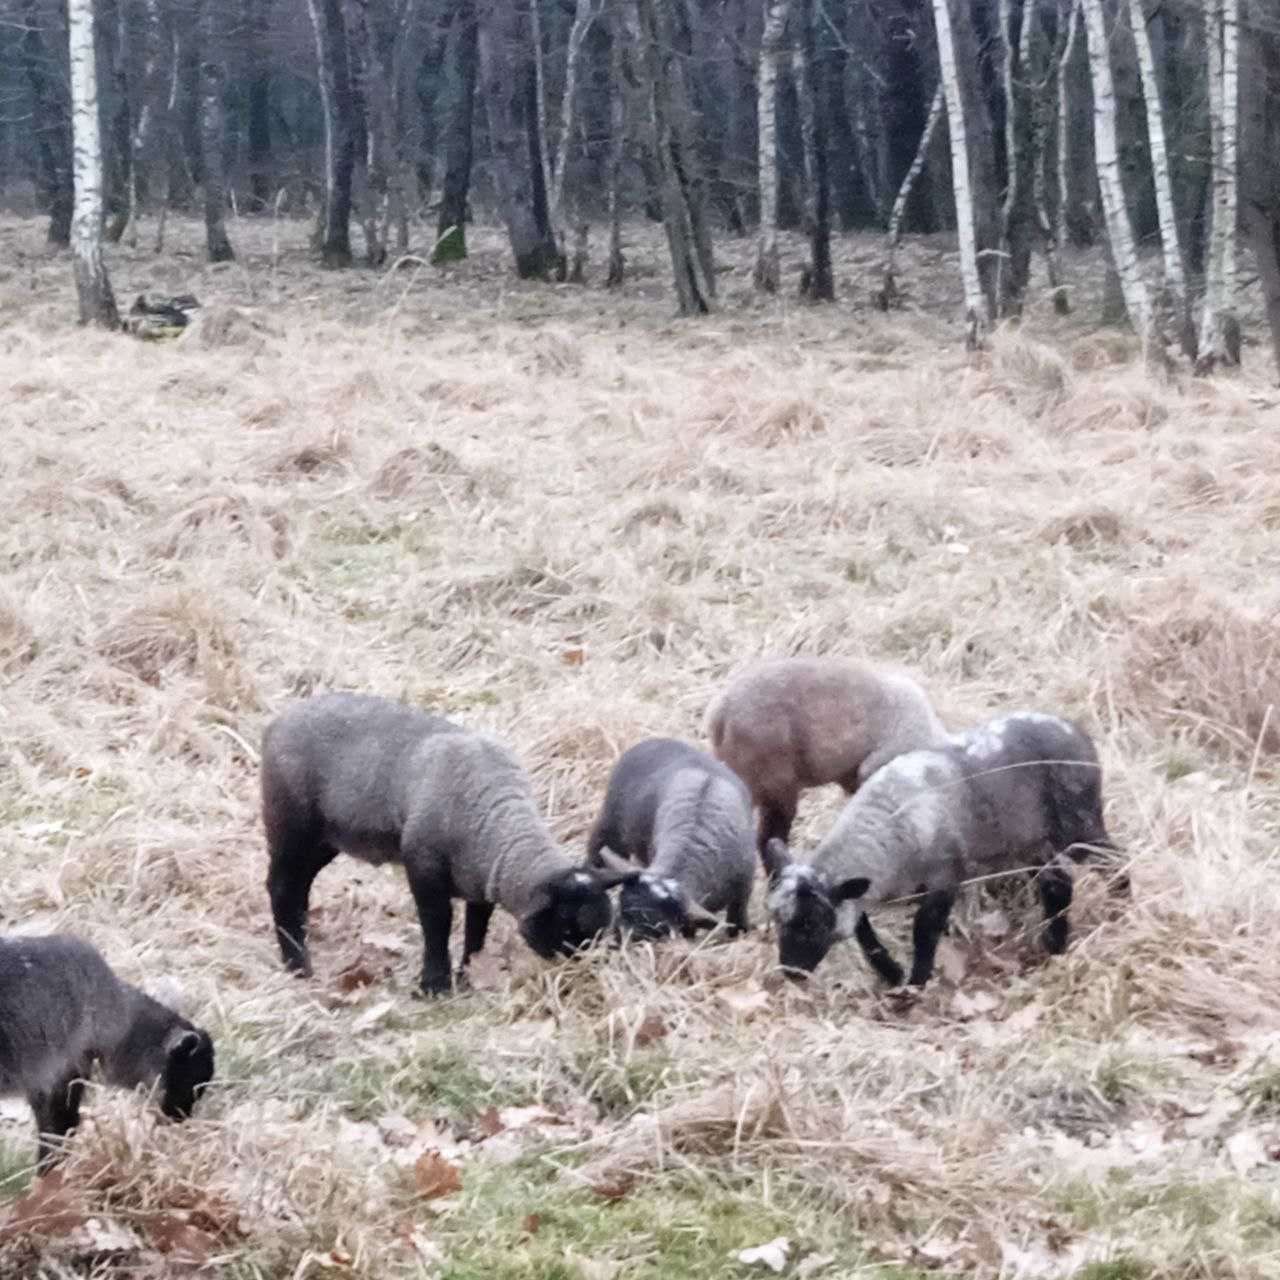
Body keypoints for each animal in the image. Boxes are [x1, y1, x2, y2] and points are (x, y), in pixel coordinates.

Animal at [262, 696, 632, 993]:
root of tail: (277, 723)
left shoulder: (480, 882)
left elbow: (476, 929)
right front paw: (435, 985)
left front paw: (469, 975)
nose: (587, 975)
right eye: (568, 929)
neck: (497, 823)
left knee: (298, 889)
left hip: (324, 840)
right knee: (282, 887)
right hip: (292, 825)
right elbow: (437, 925)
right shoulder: (424, 867)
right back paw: (298, 965)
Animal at [588, 742, 757, 942]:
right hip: (610, 823)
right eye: (620, 907)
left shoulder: (743, 890)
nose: (617, 943)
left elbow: (737, 920)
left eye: (659, 927)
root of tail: (657, 741)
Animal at [757, 716, 1121, 983]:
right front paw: (892, 974)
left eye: (813, 925)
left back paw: (1120, 907)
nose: (791, 972)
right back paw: (1055, 944)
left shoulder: (943, 880)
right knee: (1058, 883)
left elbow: (924, 932)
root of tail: (1080, 735)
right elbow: (863, 932)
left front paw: (917, 981)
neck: (884, 826)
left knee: (1115, 859)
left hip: (1079, 825)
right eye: (777, 919)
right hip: (1031, 843)